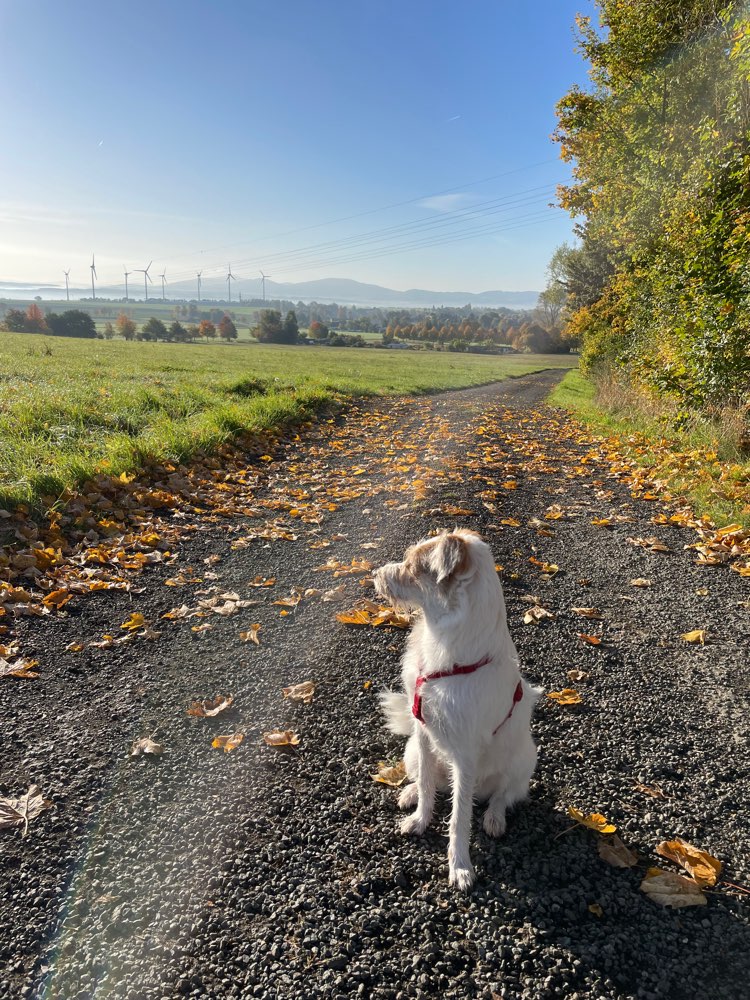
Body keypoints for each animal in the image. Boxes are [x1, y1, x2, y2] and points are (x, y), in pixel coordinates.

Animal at [376, 532, 540, 892]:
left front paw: (460, 866)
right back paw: (409, 792)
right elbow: (426, 784)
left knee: (502, 795)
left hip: (525, 759)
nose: (375, 575)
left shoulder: (465, 757)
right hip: (411, 749)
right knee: (428, 781)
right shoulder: (422, 732)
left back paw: (494, 817)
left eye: (413, 566)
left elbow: (459, 817)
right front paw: (420, 819)